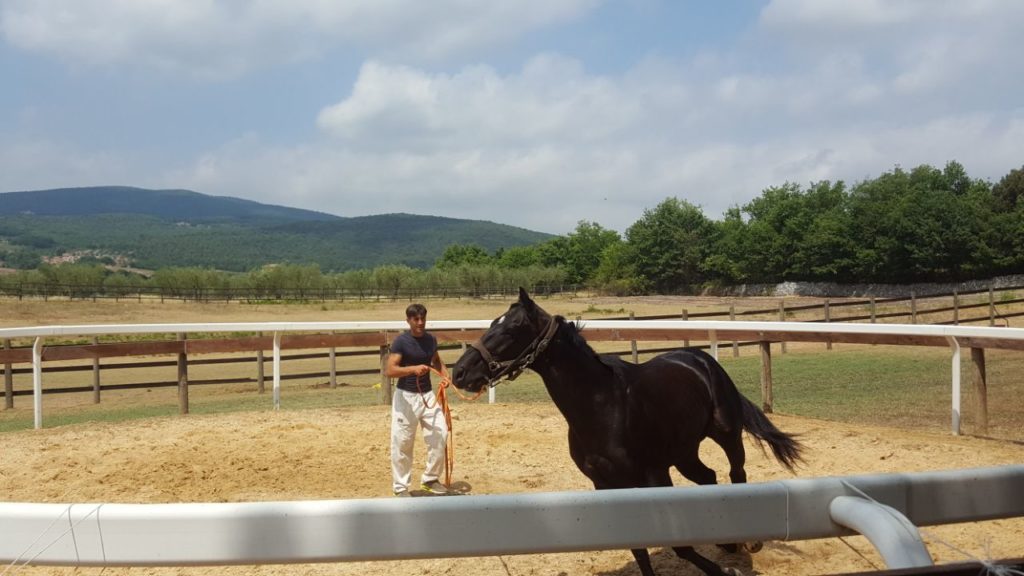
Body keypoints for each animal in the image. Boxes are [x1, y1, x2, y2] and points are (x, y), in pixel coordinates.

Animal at [450, 288, 804, 576]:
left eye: (510, 329)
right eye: (493, 322)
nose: (460, 372)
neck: (604, 407)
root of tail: (700, 359)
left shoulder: (654, 477)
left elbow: (679, 545)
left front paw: (725, 571)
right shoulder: (606, 484)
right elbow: (637, 547)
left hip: (726, 434)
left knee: (735, 474)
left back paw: (747, 540)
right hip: (684, 454)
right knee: (709, 478)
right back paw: (727, 541)